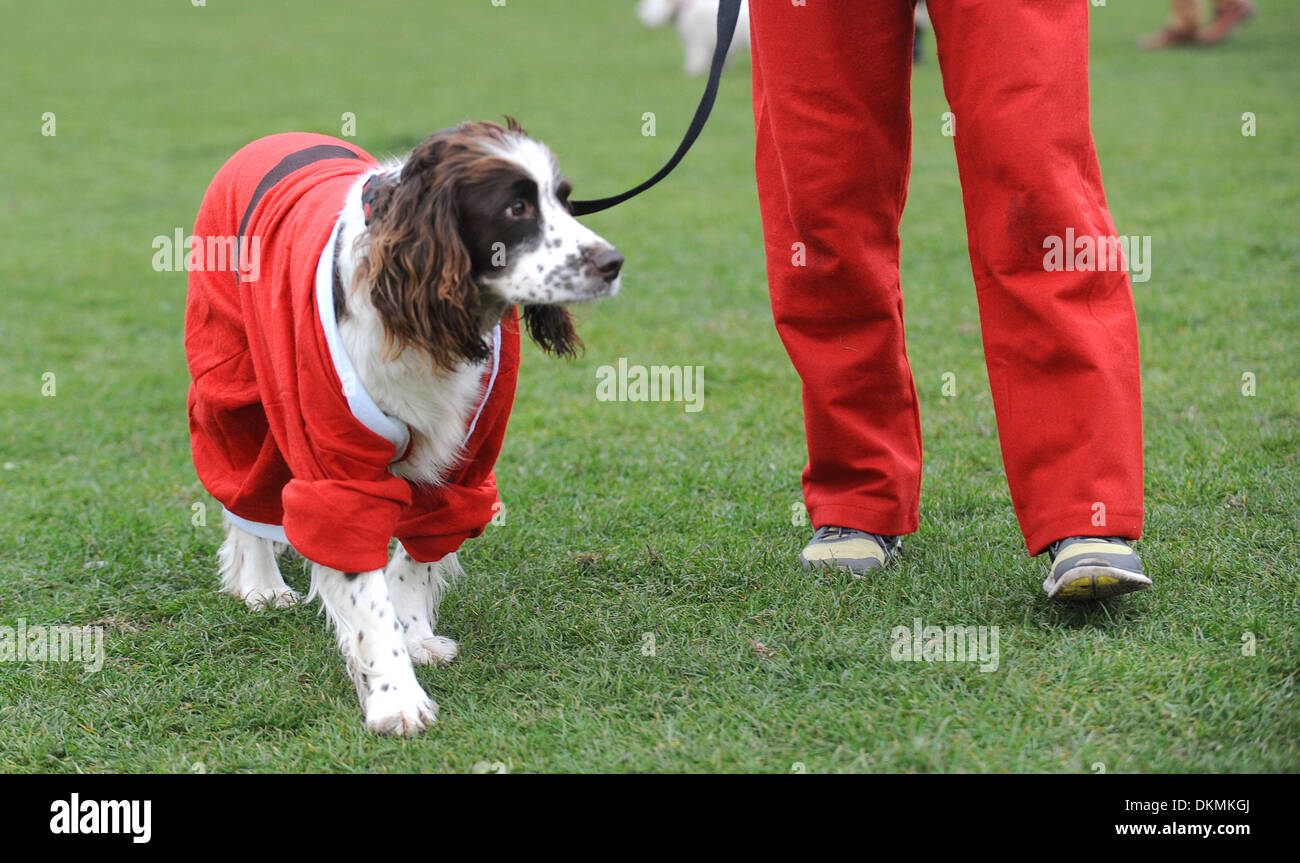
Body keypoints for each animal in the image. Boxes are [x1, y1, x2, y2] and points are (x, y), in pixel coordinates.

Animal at [184, 118, 624, 733]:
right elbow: (364, 592)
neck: (424, 327)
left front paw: (414, 636)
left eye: (563, 200)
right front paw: (396, 696)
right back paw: (262, 585)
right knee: (244, 490)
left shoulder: (464, 460)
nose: (613, 263)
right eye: (515, 208)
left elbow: (414, 560)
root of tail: (273, 137)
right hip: (235, 379)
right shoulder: (336, 466)